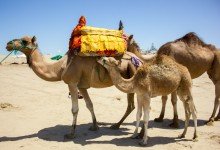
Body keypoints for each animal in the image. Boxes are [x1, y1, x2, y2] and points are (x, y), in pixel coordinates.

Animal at [5, 34, 143, 139]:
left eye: (25, 41)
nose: (8, 44)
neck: (60, 67)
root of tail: (140, 60)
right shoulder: (82, 86)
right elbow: (90, 105)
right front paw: (94, 126)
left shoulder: (72, 83)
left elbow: (74, 109)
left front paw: (71, 134)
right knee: (132, 106)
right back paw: (118, 126)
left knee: (132, 105)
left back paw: (124, 129)